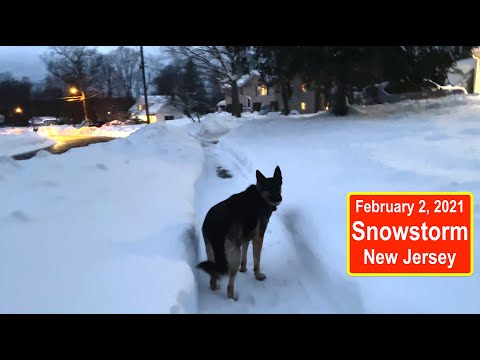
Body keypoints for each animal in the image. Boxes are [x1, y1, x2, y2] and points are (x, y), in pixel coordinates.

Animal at [197, 166, 284, 300]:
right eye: (269, 188)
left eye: (278, 186)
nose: (280, 199)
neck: (260, 196)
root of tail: (215, 223)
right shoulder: (258, 238)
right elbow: (256, 261)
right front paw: (258, 276)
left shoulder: (245, 238)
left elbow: (245, 254)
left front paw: (243, 269)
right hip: (234, 254)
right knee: (229, 285)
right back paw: (233, 299)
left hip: (212, 252)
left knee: (213, 277)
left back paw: (215, 288)